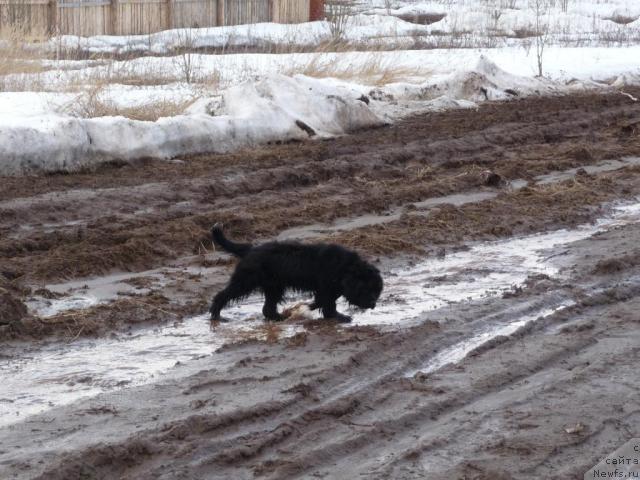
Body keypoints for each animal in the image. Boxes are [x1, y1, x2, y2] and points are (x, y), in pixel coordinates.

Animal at [208, 224, 382, 322]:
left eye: (376, 290)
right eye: (367, 289)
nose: (373, 304)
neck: (346, 267)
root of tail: (250, 249)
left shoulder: (330, 288)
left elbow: (324, 301)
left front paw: (310, 306)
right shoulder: (326, 287)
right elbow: (328, 303)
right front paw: (340, 317)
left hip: (274, 286)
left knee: (268, 308)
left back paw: (278, 318)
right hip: (246, 280)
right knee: (223, 295)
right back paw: (217, 315)